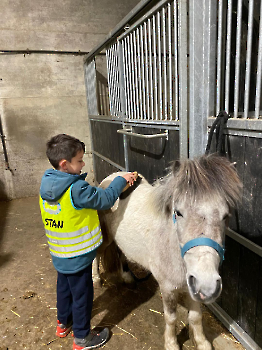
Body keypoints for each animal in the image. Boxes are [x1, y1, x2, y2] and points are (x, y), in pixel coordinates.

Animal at [93, 155, 242, 350]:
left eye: (225, 216)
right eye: (178, 212)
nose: (208, 285)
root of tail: (110, 178)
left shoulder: (192, 287)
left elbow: (196, 317)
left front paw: (202, 343)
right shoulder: (168, 288)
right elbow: (171, 318)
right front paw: (171, 343)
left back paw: (127, 277)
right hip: (106, 238)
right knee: (95, 254)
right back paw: (96, 279)